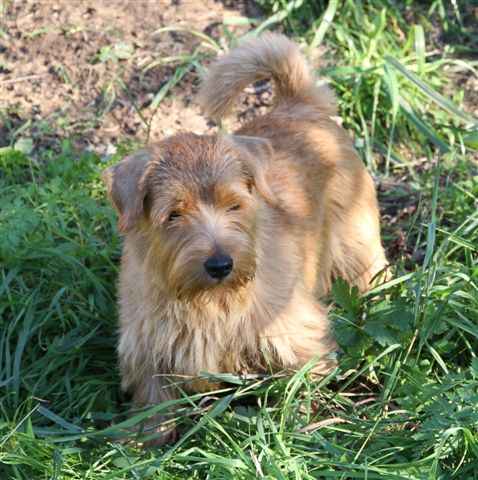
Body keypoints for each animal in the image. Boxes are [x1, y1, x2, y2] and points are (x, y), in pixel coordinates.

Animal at [102, 32, 386, 442]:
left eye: (234, 204)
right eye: (173, 214)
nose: (221, 264)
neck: (209, 301)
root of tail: (299, 105)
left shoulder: (296, 331)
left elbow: (302, 385)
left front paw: (303, 429)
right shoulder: (149, 347)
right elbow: (153, 406)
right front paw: (139, 444)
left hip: (357, 245)